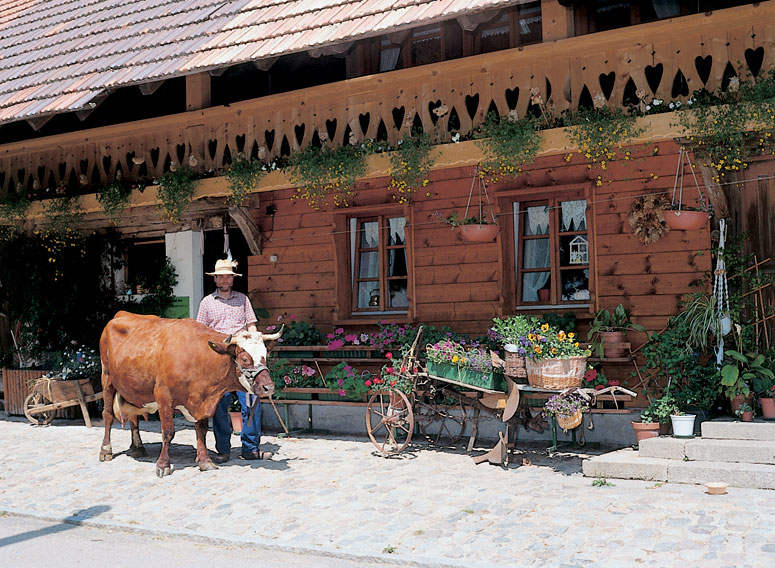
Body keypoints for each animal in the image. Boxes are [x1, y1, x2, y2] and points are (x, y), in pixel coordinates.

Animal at [99, 312, 282, 478]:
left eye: (265, 356)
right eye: (244, 359)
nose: (269, 387)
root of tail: (121, 315)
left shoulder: (201, 399)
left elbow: (201, 431)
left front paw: (205, 461)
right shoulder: (163, 396)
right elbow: (168, 432)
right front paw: (163, 465)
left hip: (132, 389)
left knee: (133, 417)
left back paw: (138, 447)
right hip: (107, 377)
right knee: (107, 414)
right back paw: (106, 450)